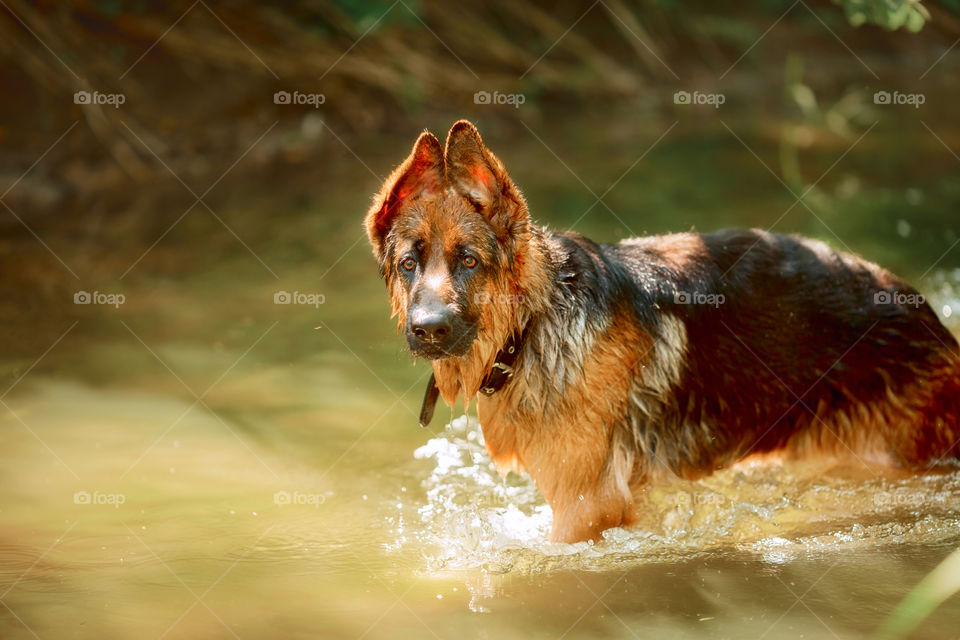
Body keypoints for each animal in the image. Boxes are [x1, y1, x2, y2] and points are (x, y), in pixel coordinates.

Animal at [366, 119, 960, 540]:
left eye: (468, 262)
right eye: (409, 264)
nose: (428, 329)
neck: (535, 324)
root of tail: (924, 312)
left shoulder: (587, 507)